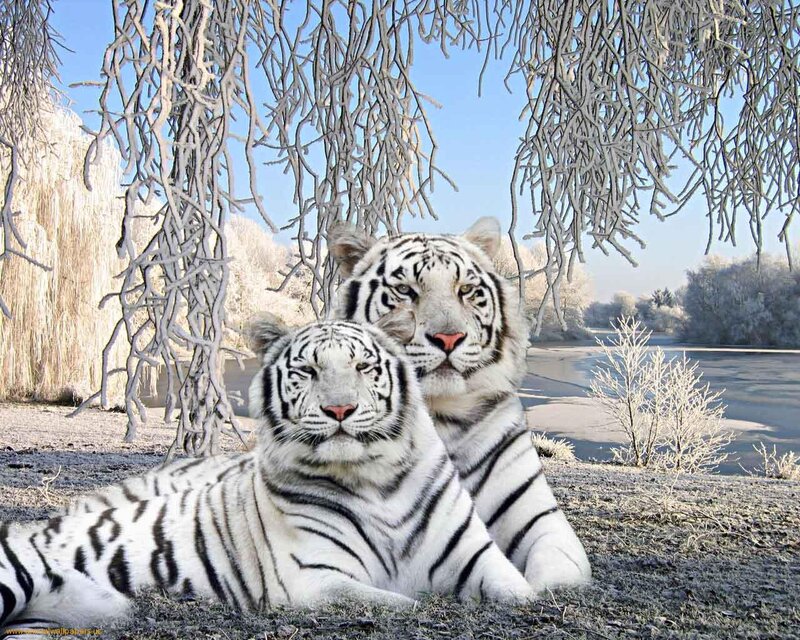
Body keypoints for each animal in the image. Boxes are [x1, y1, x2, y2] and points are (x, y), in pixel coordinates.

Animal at [0, 317, 534, 638]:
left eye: (363, 366)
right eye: (308, 370)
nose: (339, 409)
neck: (376, 480)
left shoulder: (477, 559)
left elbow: (521, 591)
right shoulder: (314, 580)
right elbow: (406, 602)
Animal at [328, 216, 592, 592]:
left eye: (465, 290)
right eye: (405, 291)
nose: (449, 338)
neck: (441, 413)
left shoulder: (538, 515)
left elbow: (557, 568)